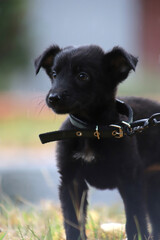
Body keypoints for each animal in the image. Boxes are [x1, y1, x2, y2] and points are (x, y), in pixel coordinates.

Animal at [34, 45, 160, 240]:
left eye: (82, 76)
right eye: (54, 74)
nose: (53, 97)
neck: (92, 130)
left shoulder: (130, 179)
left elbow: (135, 218)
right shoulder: (71, 181)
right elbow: (73, 220)